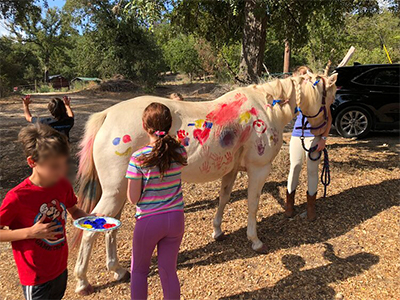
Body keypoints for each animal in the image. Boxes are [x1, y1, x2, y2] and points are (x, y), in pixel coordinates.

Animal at [72, 73, 338, 296]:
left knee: (111, 228)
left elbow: (223, 199)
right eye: (331, 99)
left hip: (118, 194)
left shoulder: (231, 171)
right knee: (92, 230)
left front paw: (218, 231)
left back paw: (118, 270)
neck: (266, 108)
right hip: (114, 193)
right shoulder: (258, 170)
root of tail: (107, 116)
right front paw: (255, 240)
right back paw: (83, 282)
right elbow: (252, 205)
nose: (321, 138)